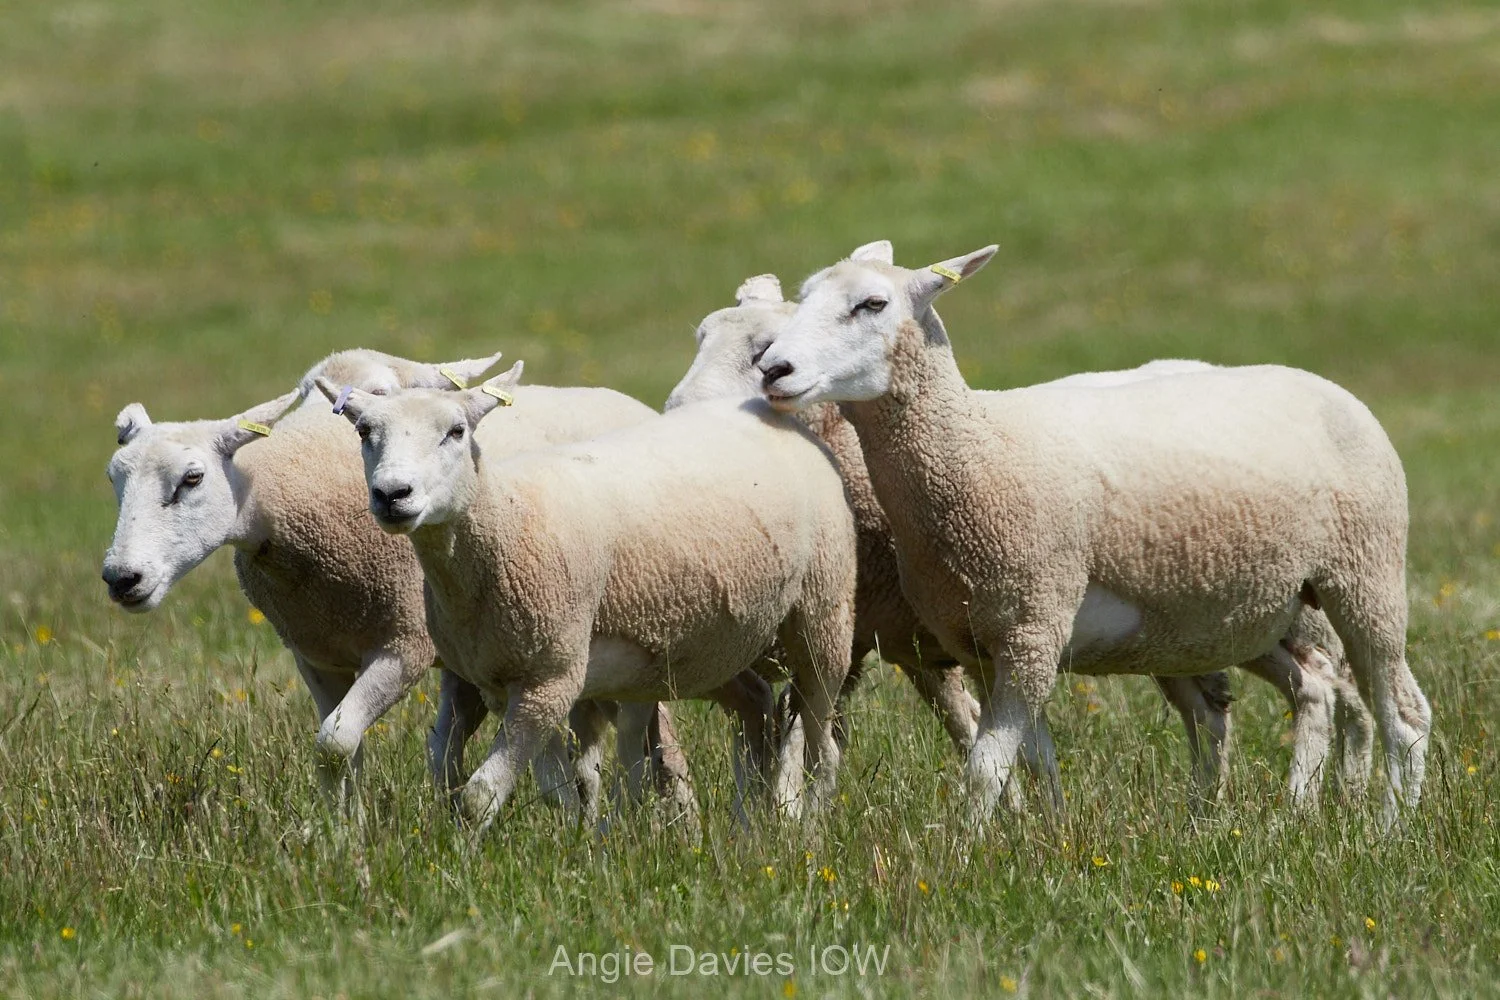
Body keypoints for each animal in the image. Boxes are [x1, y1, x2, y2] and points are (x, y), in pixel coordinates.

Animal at [102, 349, 691, 818]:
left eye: (192, 479)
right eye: (114, 479)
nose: (120, 577)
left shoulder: (403, 644)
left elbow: (336, 741)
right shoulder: (316, 657)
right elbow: (342, 747)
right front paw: (343, 832)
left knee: (662, 740)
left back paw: (683, 825)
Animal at [314, 366, 857, 831]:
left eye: (456, 431)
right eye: (363, 432)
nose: (392, 495)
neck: (507, 521)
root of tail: (772, 413)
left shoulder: (550, 677)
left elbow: (479, 796)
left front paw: (465, 863)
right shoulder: (515, 681)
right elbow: (560, 790)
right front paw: (577, 846)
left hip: (822, 615)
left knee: (821, 749)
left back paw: (808, 833)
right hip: (704, 644)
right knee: (755, 709)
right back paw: (744, 831)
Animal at [756, 240, 1428, 820]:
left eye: (873, 304)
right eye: (804, 296)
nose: (773, 369)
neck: (978, 446)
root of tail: (1325, 385)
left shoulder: (1032, 627)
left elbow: (985, 765)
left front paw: (965, 856)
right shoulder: (986, 644)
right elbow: (1031, 759)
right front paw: (1052, 836)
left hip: (1363, 573)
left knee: (1403, 715)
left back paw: (1384, 830)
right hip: (1237, 610)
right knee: (1308, 689)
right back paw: (1277, 816)